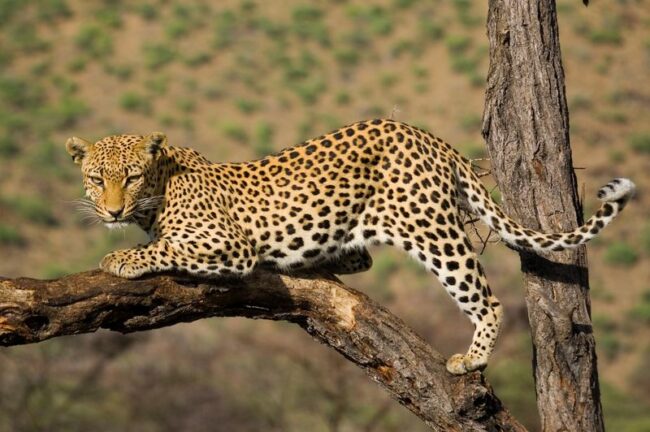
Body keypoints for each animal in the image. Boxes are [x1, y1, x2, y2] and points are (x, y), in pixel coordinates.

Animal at [66, 119, 635, 374]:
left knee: (485, 297)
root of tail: (426, 134)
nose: (111, 211)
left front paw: (121, 258)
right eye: (95, 179)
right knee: (361, 255)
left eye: (130, 177)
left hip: (432, 230)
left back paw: (471, 360)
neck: (159, 188)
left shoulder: (229, 243)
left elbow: (168, 248)